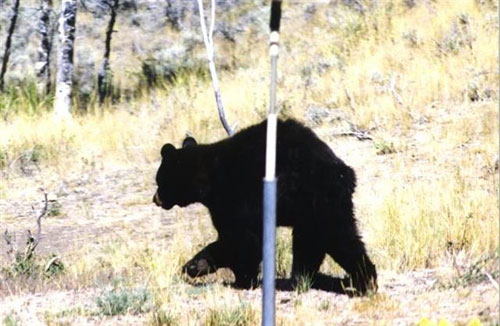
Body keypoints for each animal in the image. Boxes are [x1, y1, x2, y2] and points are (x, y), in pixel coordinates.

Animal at [154, 118, 376, 294]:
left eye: (159, 180)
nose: (155, 199)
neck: (207, 179)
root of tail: (342, 171)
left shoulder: (232, 199)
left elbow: (241, 241)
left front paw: (242, 280)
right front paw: (194, 265)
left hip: (316, 199)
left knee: (334, 237)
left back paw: (359, 280)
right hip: (319, 207)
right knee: (323, 239)